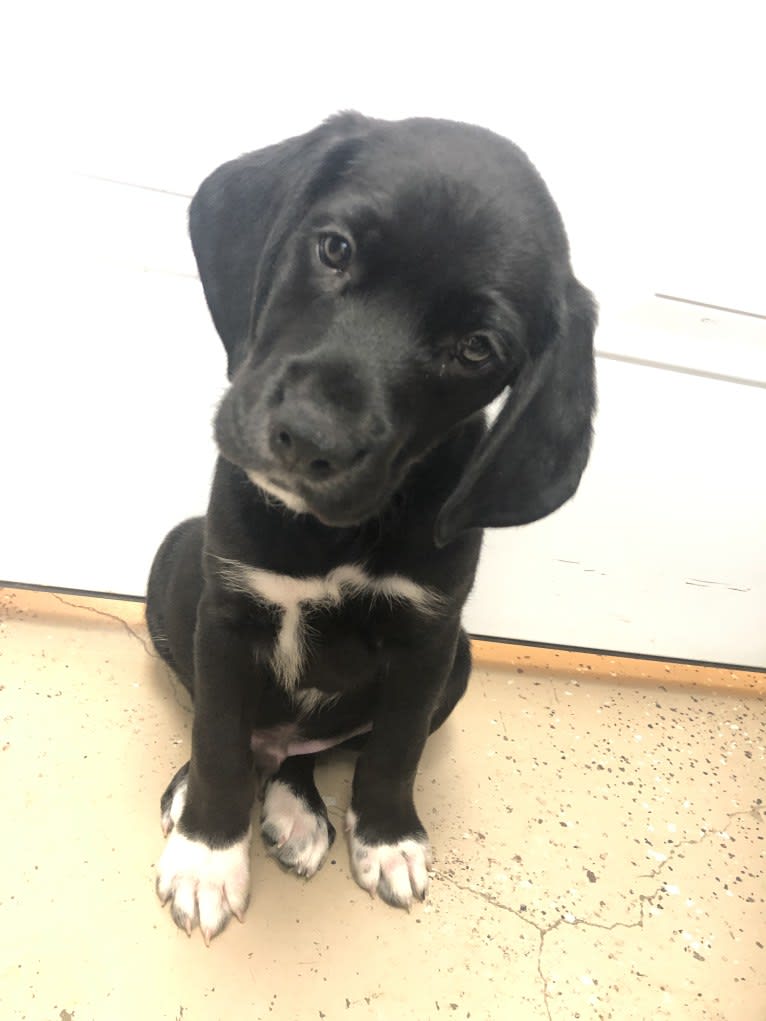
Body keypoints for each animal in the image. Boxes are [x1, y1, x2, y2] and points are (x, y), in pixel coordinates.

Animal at [147, 111, 596, 939]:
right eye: (335, 249)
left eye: (476, 348)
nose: (309, 437)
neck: (333, 532)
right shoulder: (225, 613)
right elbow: (218, 733)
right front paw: (208, 855)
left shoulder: (428, 639)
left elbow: (396, 748)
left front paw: (387, 838)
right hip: (176, 562)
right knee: (230, 726)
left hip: (462, 659)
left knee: (303, 752)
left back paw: (297, 805)